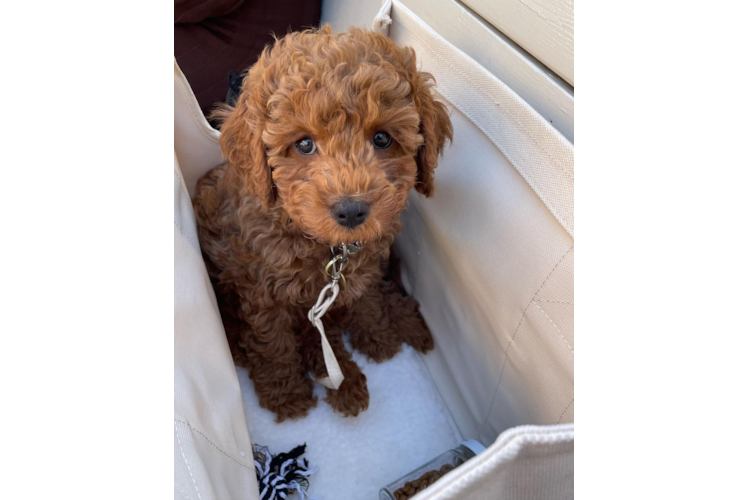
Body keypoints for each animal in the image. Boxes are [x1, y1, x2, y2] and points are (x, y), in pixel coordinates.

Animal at [194, 24, 450, 422]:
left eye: (382, 138)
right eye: (303, 144)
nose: (351, 211)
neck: (325, 244)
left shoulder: (356, 270)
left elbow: (364, 298)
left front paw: (377, 334)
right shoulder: (263, 288)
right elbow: (274, 339)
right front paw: (285, 392)